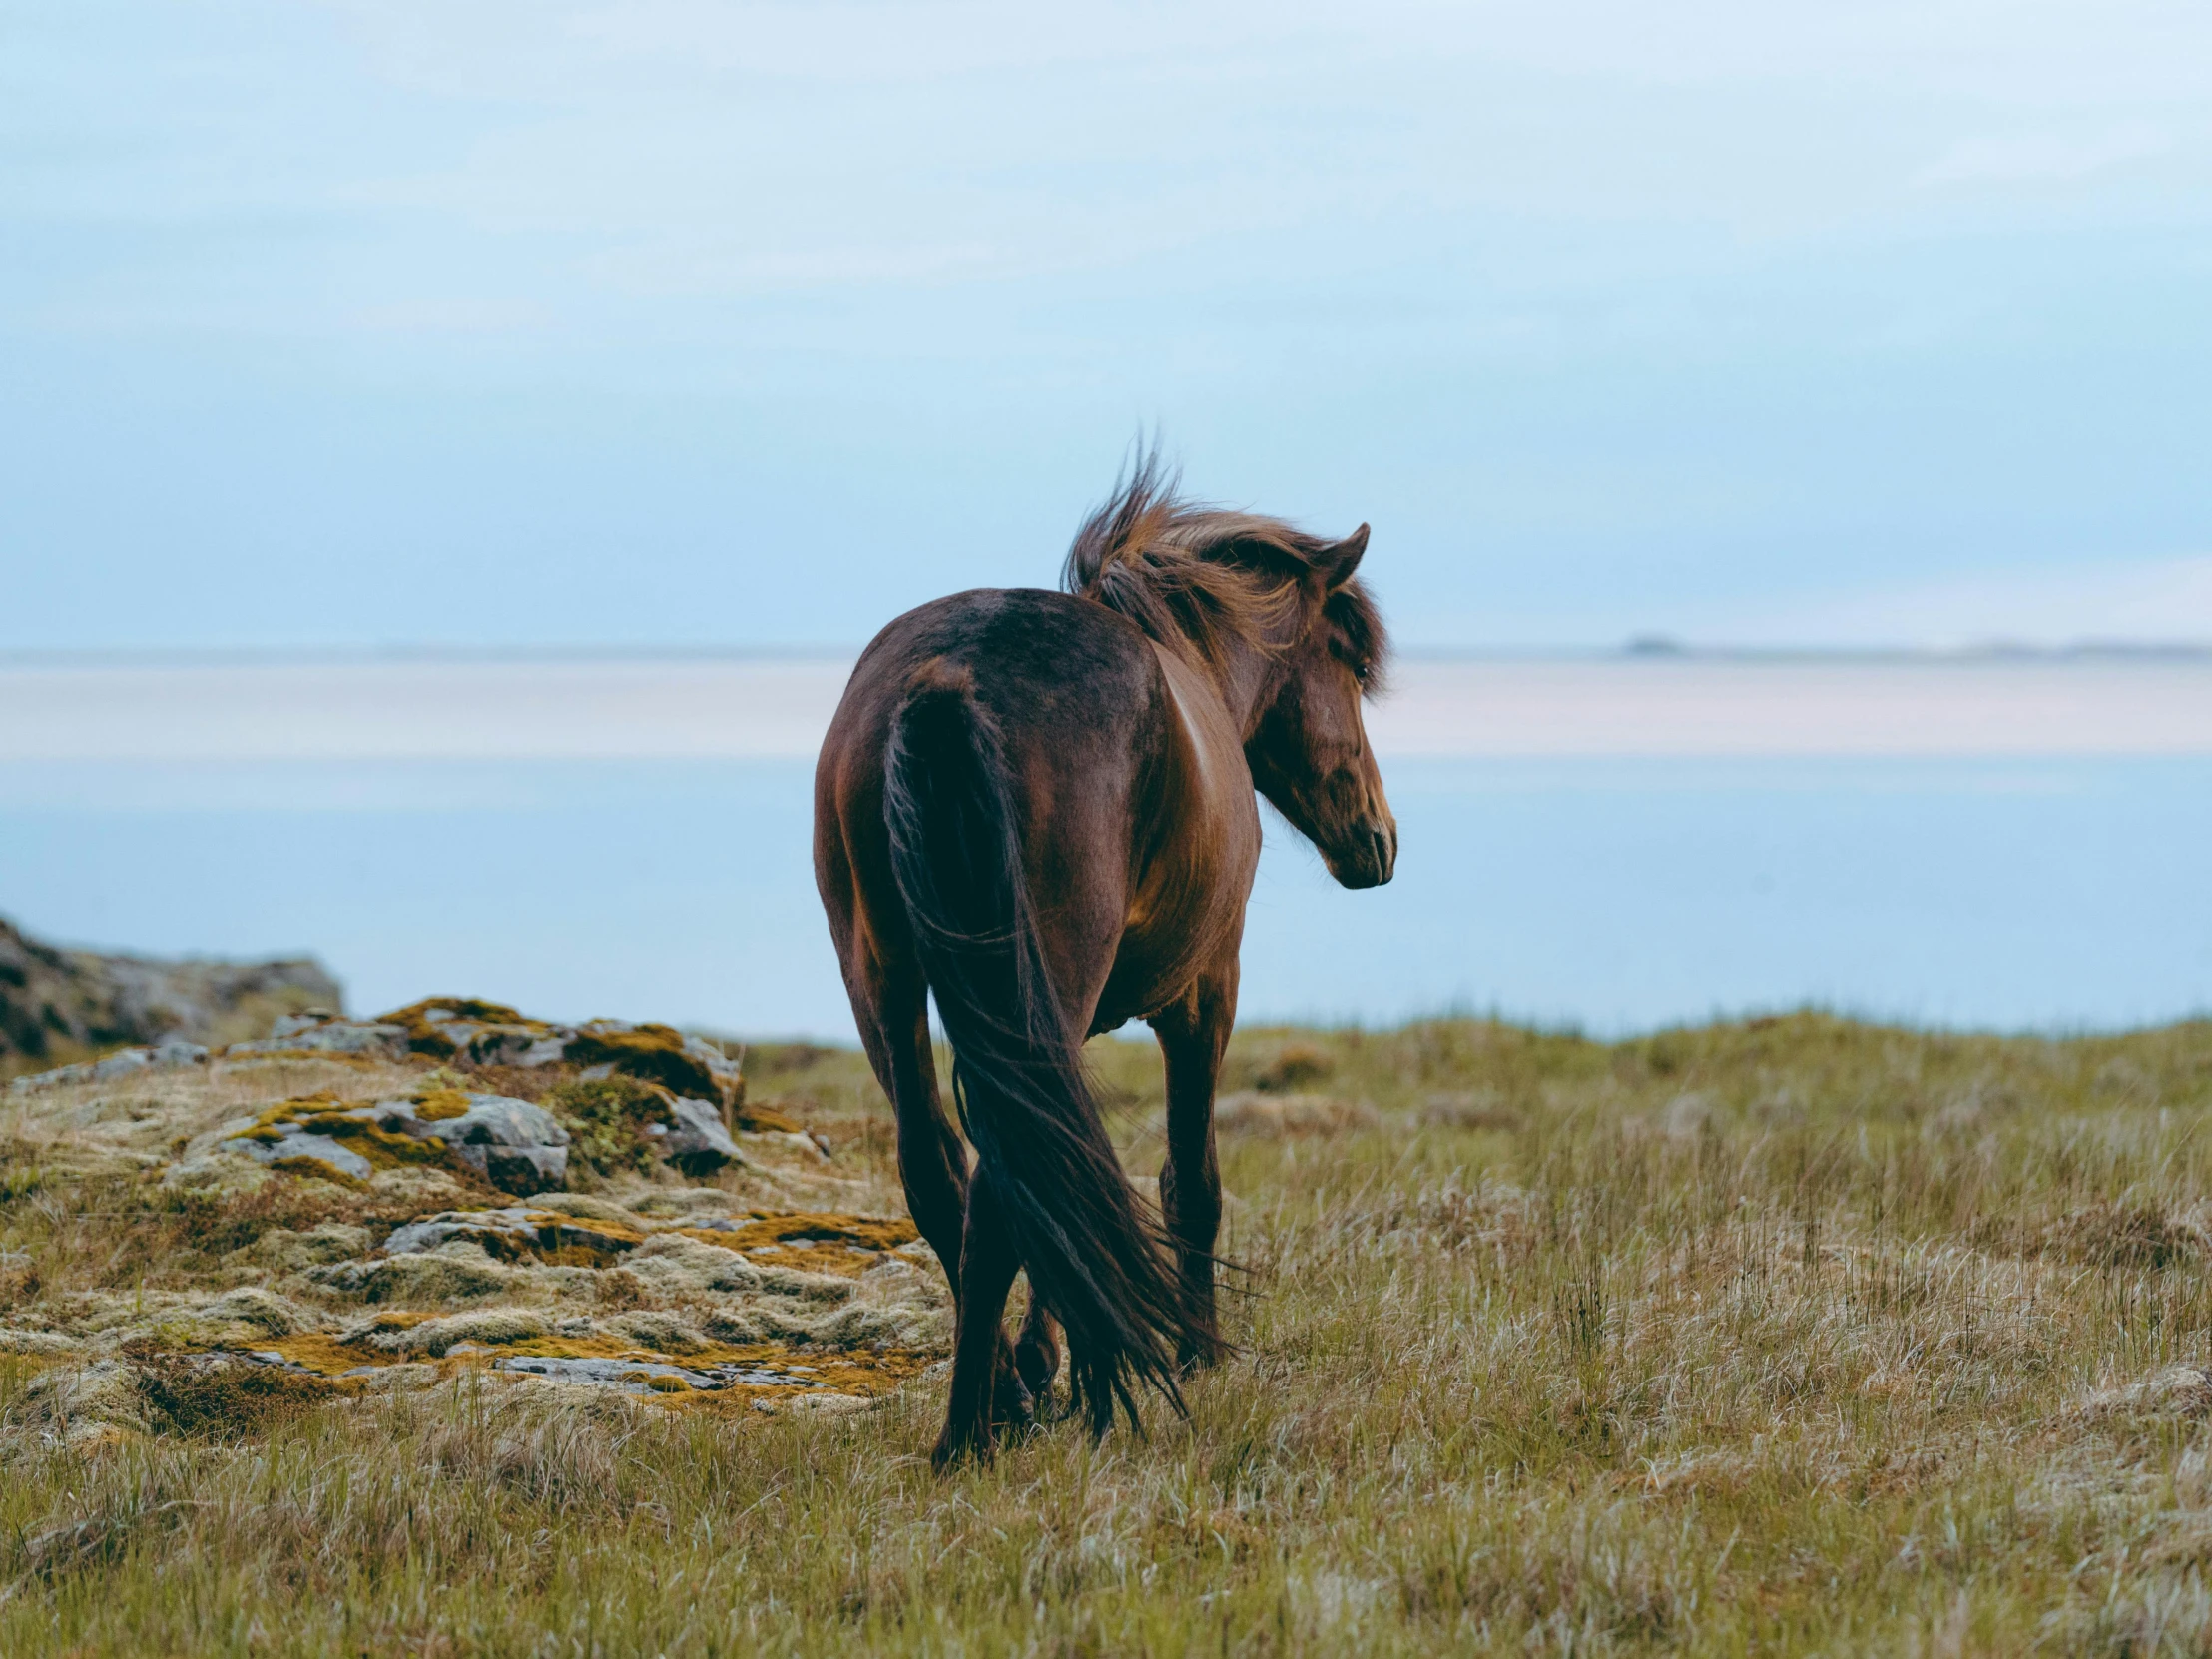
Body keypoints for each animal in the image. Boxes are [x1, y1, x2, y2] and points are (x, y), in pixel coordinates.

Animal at [814, 457, 1397, 1468]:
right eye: (1351, 665)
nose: (1378, 839)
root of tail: (947, 676)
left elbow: (1071, 1169)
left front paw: (1043, 1360)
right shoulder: (1205, 992)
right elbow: (1188, 1179)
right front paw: (1199, 1353)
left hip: (882, 976)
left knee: (946, 1169)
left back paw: (998, 1398)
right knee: (1002, 1185)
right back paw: (971, 1432)